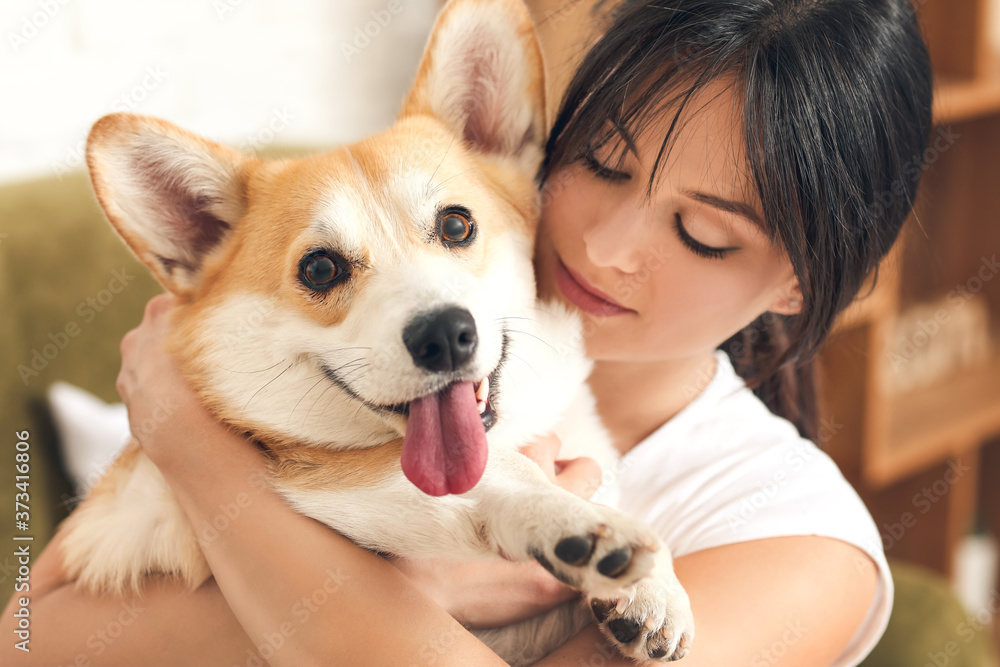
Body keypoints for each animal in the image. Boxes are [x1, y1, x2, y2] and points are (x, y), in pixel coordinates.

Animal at [58, 0, 692, 664]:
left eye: (457, 225)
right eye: (319, 268)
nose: (445, 335)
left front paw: (654, 588)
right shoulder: (331, 488)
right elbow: (506, 473)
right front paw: (577, 528)